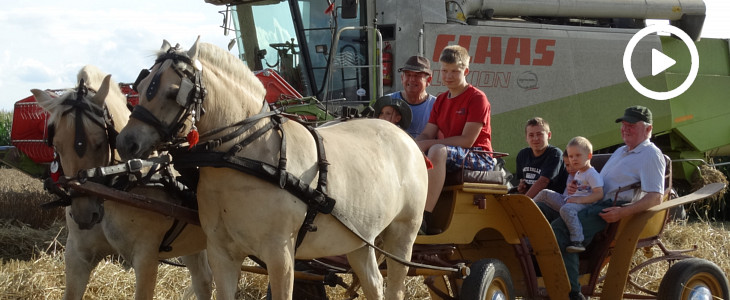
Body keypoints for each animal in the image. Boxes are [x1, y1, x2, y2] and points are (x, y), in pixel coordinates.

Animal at [33, 64, 212, 298]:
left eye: (100, 143)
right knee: (203, 281)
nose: (84, 215)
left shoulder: (146, 258)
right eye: (56, 145)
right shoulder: (77, 255)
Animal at [114, 38, 426, 300]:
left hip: (403, 234)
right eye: (141, 87)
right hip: (360, 239)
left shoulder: (280, 255)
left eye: (172, 92)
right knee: (374, 283)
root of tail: (402, 135)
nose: (125, 142)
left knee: (396, 285)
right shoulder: (221, 252)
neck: (244, 157)